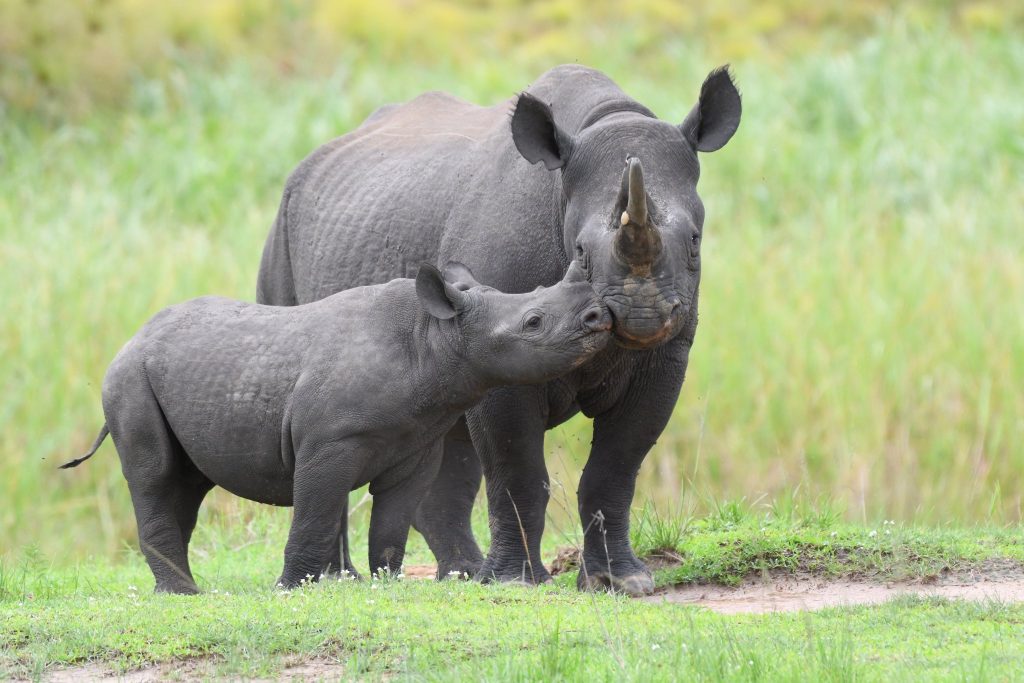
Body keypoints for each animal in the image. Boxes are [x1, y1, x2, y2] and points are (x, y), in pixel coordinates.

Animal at [62, 264, 610, 593]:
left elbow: (392, 518)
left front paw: (385, 582)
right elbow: (316, 511)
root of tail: (131, 339)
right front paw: (290, 588)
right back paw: (184, 594)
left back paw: (182, 587)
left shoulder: (419, 443)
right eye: (534, 322)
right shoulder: (330, 442)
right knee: (155, 475)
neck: (435, 339)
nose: (597, 318)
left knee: (189, 483)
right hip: (128, 380)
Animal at [257, 64, 741, 595]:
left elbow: (615, 468)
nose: (642, 313)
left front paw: (620, 581)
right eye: (581, 251)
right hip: (280, 232)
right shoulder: (497, 347)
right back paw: (341, 580)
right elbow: (517, 469)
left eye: (694, 241)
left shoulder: (664, 355)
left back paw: (462, 573)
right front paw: (515, 582)